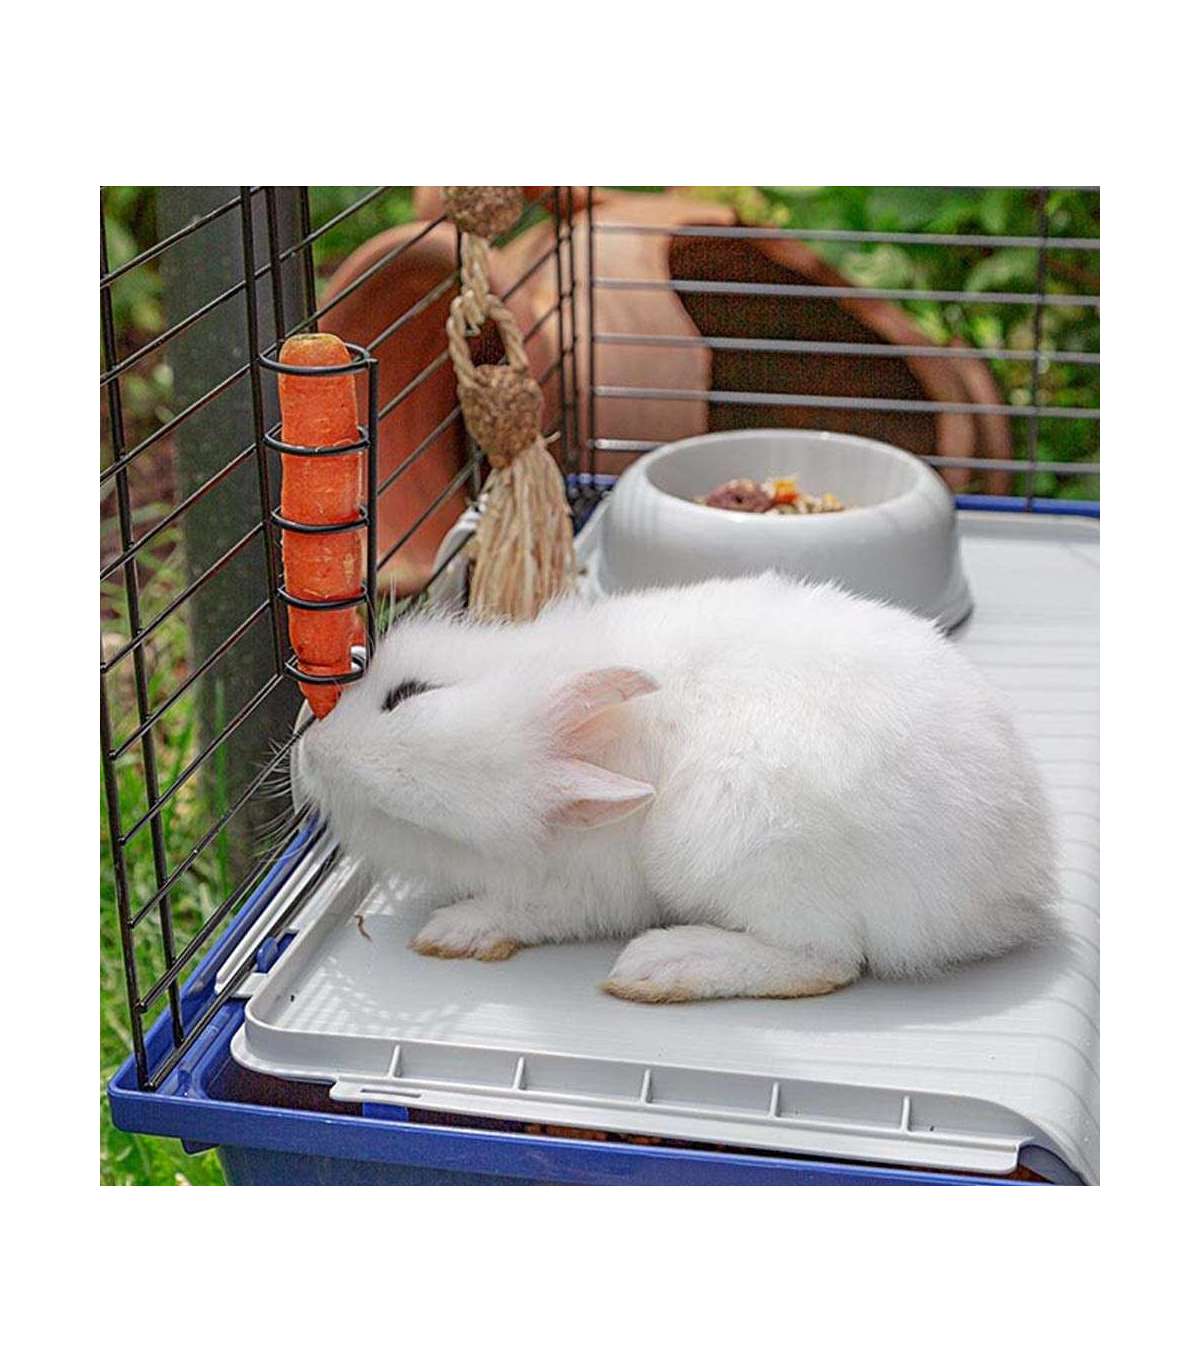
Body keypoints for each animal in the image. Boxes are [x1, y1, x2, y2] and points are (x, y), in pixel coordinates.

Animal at [296, 572, 1057, 1003]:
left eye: (407, 695)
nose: (307, 755)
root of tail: (1013, 889)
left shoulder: (585, 889)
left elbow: (526, 911)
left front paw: (455, 931)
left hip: (744, 849)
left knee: (825, 961)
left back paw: (661, 967)